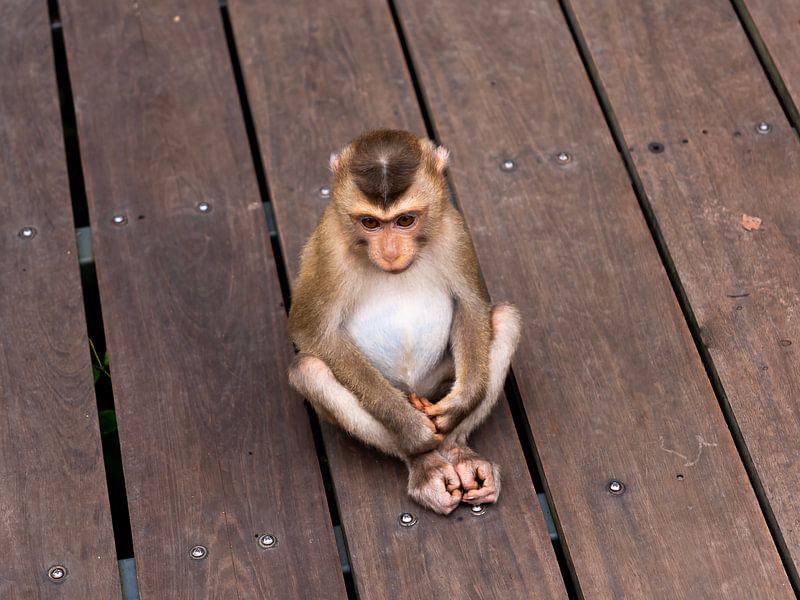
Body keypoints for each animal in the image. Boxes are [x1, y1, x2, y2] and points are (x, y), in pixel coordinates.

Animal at [288, 129, 521, 515]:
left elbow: (471, 305)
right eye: (370, 222)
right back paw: (425, 464)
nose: (391, 252)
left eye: (405, 220)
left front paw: (461, 404)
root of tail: (417, 389)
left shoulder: (453, 229)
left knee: (506, 318)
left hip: (437, 383)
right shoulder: (328, 247)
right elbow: (313, 332)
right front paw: (409, 427)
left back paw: (458, 449)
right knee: (309, 369)